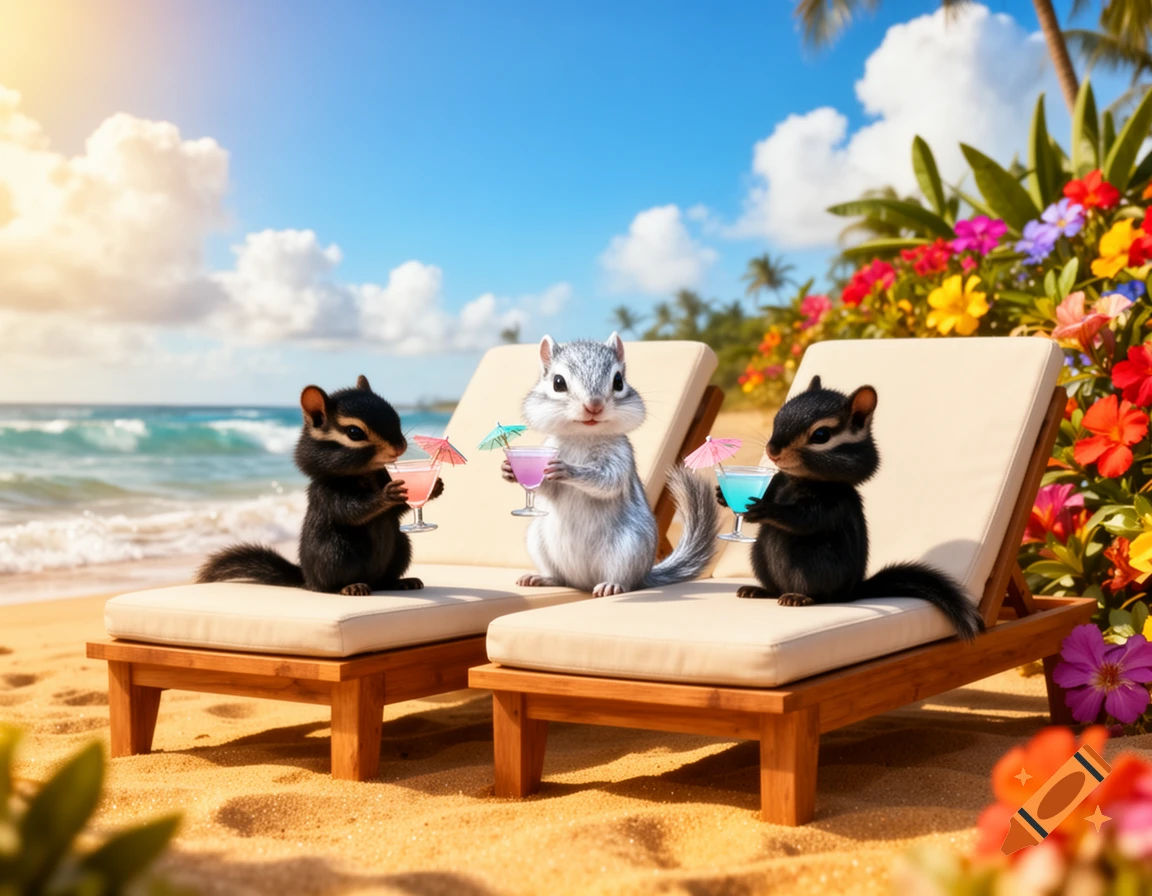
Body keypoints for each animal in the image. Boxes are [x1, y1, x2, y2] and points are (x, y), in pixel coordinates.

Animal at [196, 375, 442, 595]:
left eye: (396, 417)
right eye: (355, 432)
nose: (400, 446)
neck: (367, 475)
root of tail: (306, 580)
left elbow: (398, 511)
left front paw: (435, 487)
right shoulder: (326, 492)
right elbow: (352, 511)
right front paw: (388, 494)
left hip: (402, 545)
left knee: (384, 580)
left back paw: (402, 582)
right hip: (335, 552)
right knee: (328, 586)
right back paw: (350, 587)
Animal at [502, 332, 718, 596]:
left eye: (618, 381)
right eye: (558, 383)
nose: (594, 406)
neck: (583, 438)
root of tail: (583, 583)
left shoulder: (621, 458)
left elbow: (607, 482)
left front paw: (568, 469)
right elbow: (544, 487)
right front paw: (510, 470)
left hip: (629, 548)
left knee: (624, 580)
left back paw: (611, 585)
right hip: (537, 539)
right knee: (561, 578)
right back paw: (542, 578)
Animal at [720, 375, 984, 641]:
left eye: (821, 435)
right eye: (777, 418)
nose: (772, 451)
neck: (799, 481)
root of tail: (853, 592)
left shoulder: (832, 503)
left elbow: (803, 519)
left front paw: (765, 509)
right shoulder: (777, 483)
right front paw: (722, 496)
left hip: (815, 566)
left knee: (823, 596)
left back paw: (799, 597)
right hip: (759, 558)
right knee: (776, 588)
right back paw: (758, 590)